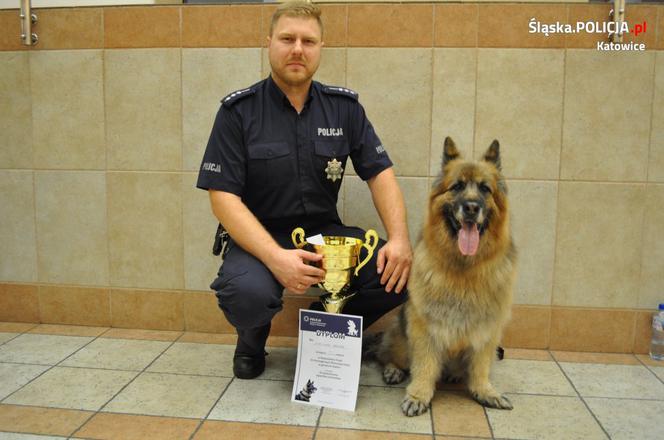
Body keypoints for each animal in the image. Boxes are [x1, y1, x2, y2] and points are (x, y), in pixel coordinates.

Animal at [376, 137, 516, 416]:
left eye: (485, 189)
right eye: (458, 186)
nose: (471, 208)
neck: (464, 268)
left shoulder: (487, 330)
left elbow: (481, 366)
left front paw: (485, 391)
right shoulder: (425, 328)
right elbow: (425, 366)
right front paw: (418, 395)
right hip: (401, 338)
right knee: (389, 355)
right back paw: (393, 370)